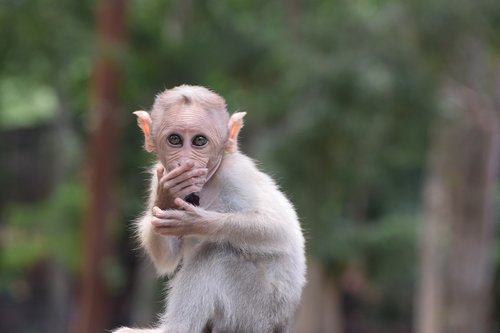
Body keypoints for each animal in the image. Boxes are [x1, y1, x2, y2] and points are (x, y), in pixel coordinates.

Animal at [113, 85, 306, 332]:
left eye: (199, 141)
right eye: (175, 140)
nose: (186, 161)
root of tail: (282, 322)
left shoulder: (236, 173)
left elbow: (280, 230)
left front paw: (198, 221)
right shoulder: (159, 176)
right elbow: (167, 257)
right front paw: (167, 197)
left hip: (259, 308)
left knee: (215, 255)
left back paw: (173, 328)